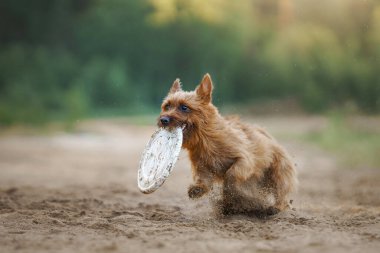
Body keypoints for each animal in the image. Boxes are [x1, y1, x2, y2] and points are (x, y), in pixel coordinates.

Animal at [157, 73, 296, 215]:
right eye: (167, 106)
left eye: (184, 107)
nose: (163, 120)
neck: (205, 140)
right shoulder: (203, 167)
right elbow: (204, 181)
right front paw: (198, 190)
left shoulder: (244, 159)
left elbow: (232, 174)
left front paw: (230, 192)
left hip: (279, 172)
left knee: (282, 193)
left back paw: (275, 207)